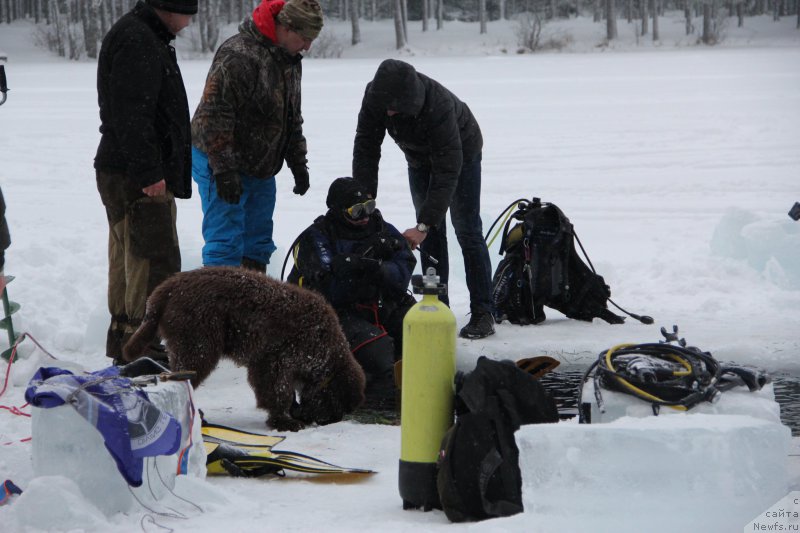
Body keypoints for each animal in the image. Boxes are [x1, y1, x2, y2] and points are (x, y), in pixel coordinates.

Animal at [122, 268, 366, 430]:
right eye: (339, 403)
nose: (330, 421)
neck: (326, 345)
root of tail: (165, 289)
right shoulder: (277, 358)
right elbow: (277, 389)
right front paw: (284, 420)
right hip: (198, 341)